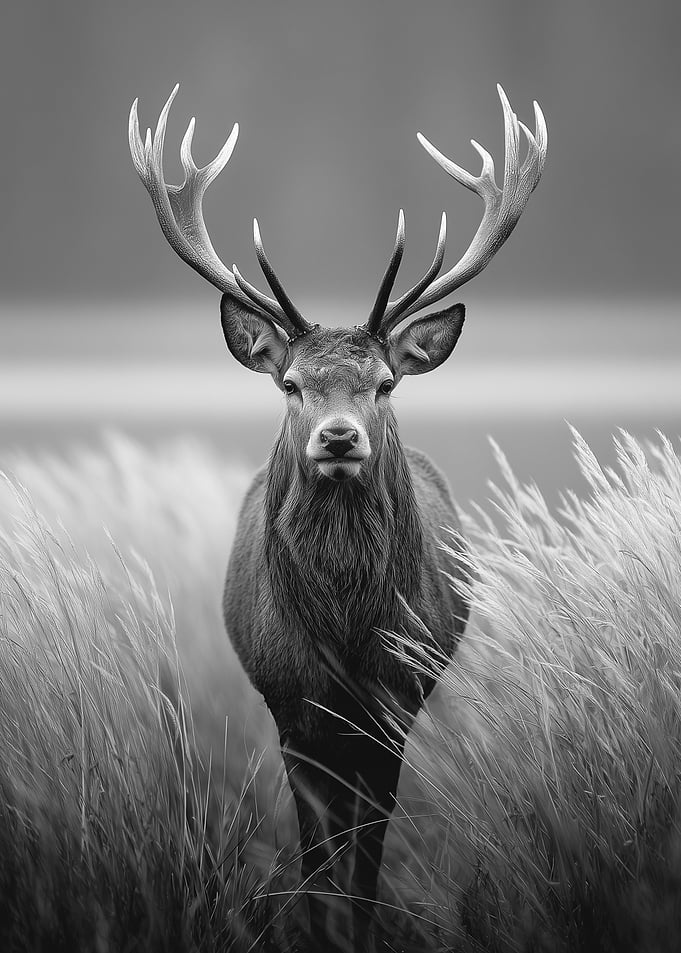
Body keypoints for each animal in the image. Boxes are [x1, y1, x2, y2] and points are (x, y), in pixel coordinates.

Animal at [129, 84, 547, 951]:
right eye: (291, 383)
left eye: (383, 382)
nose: (339, 436)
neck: (344, 634)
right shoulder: (290, 703)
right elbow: (317, 851)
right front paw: (318, 927)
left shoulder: (393, 702)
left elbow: (368, 850)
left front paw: (359, 927)